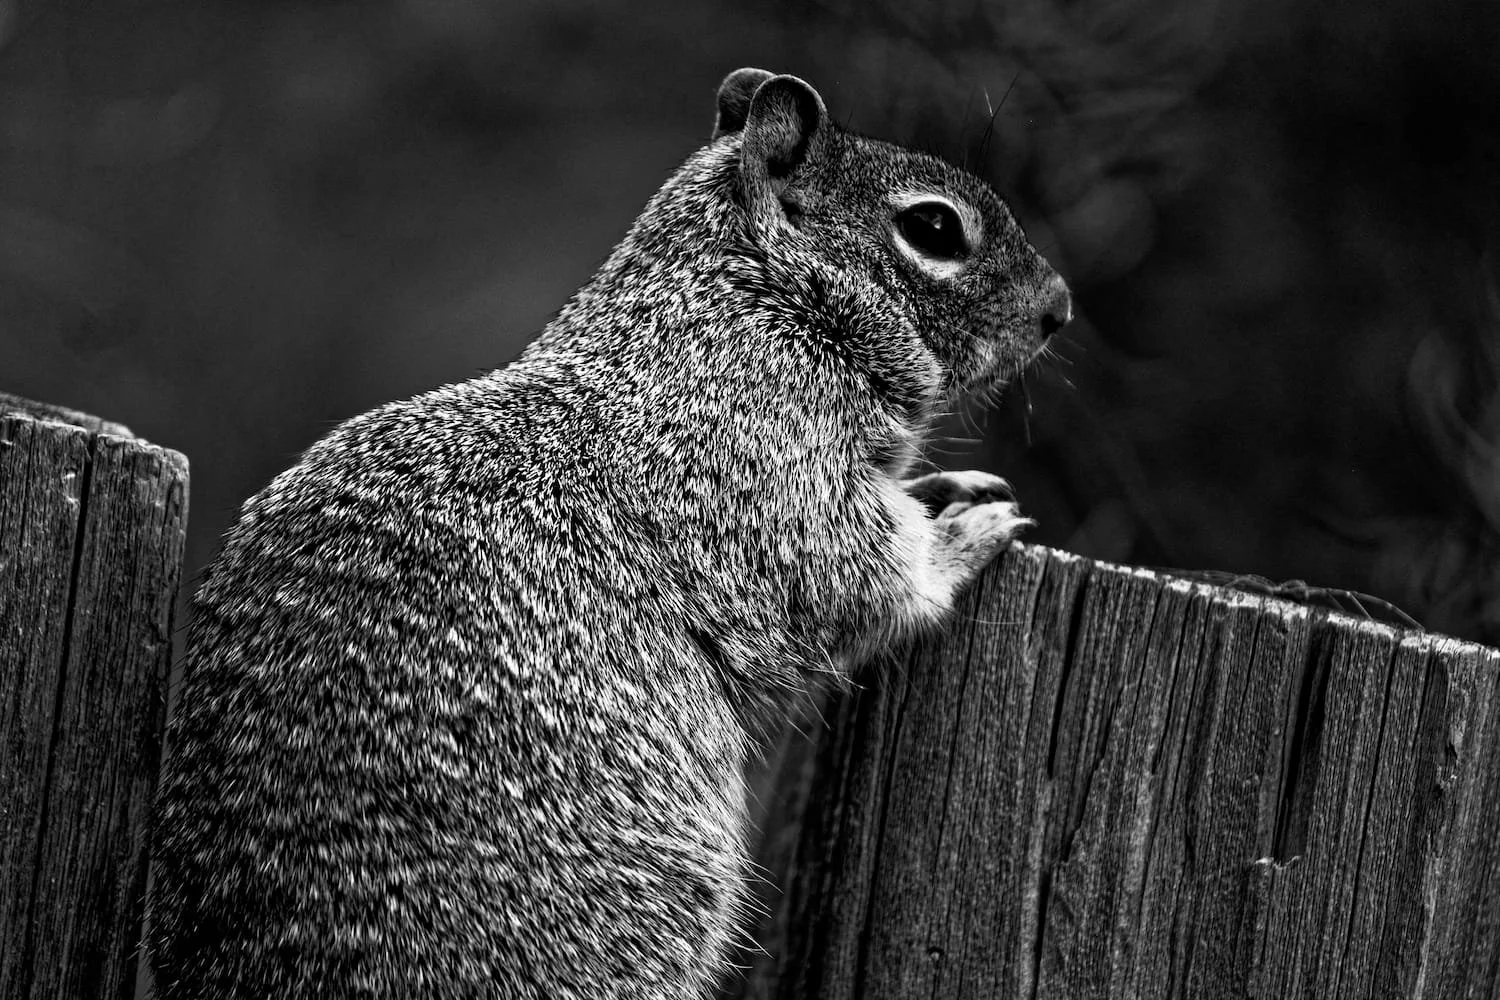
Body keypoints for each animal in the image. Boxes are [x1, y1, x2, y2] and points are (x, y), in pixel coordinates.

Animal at [146, 67, 1071, 999]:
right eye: (933, 227)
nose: (1059, 308)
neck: (754, 310)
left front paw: (950, 489)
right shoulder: (775, 495)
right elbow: (870, 585)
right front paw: (965, 534)